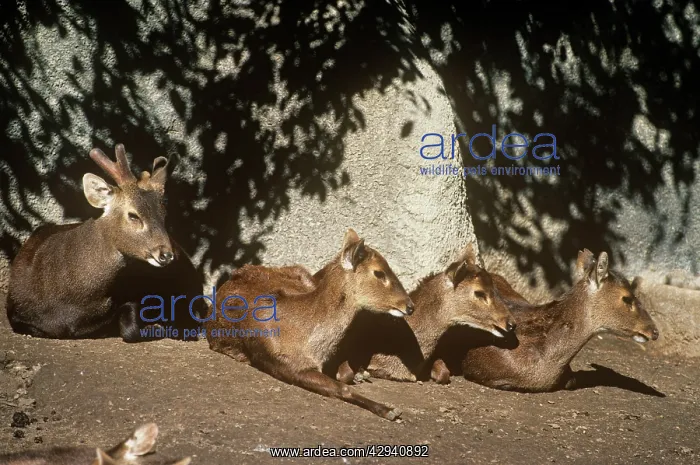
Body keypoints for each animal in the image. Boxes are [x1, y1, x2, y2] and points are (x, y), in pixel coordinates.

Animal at [204, 228, 414, 421]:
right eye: (379, 272)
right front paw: (389, 410)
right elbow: (342, 388)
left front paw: (359, 375)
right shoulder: (287, 364)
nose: (410, 306)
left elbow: (344, 375)